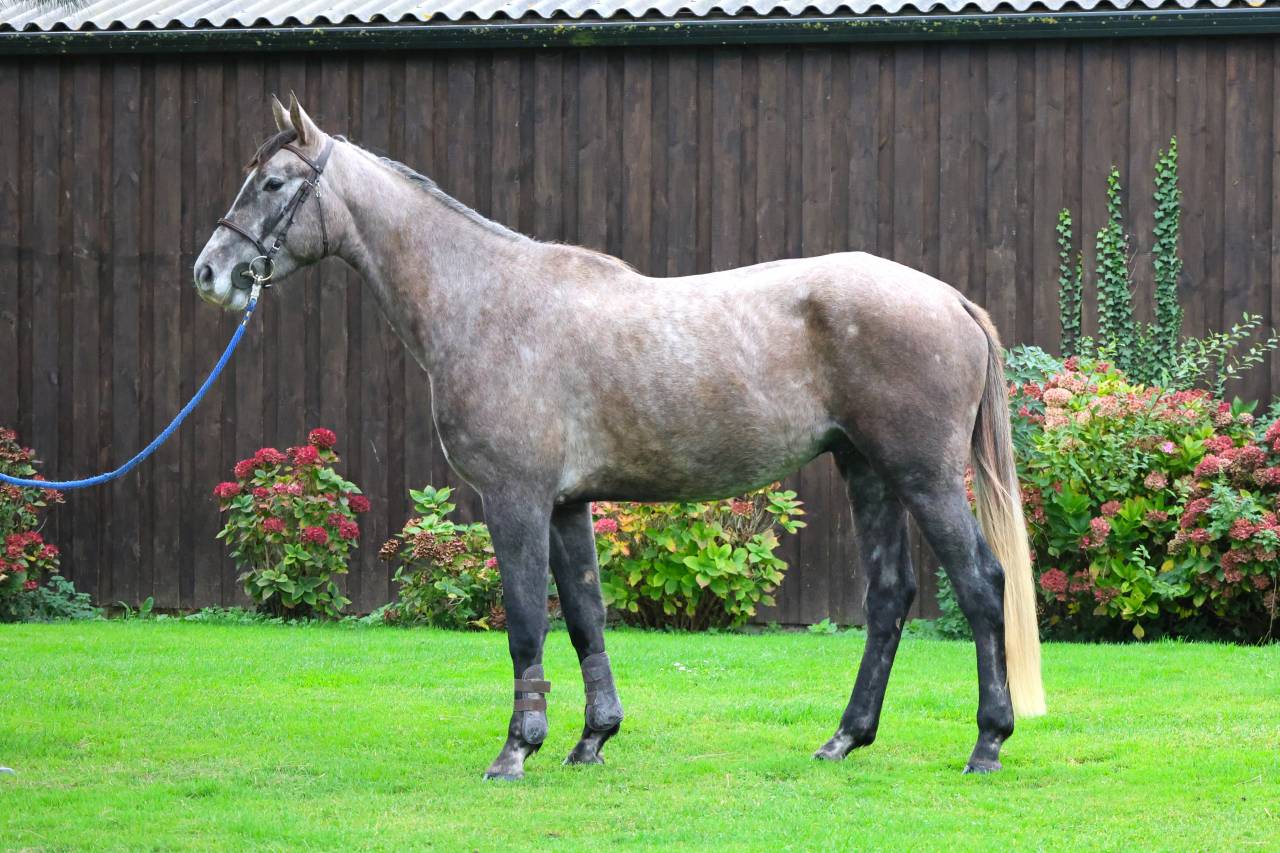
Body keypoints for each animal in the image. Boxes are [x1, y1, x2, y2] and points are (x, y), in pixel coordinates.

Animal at [195, 95, 1045, 781]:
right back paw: (844, 738)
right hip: (865, 469)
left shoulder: (515, 499)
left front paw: (516, 749)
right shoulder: (569, 505)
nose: (211, 272)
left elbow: (524, 619)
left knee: (982, 583)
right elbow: (584, 615)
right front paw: (590, 739)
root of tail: (950, 299)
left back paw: (987, 743)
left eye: (273, 184)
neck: (488, 301)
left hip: (923, 475)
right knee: (890, 593)